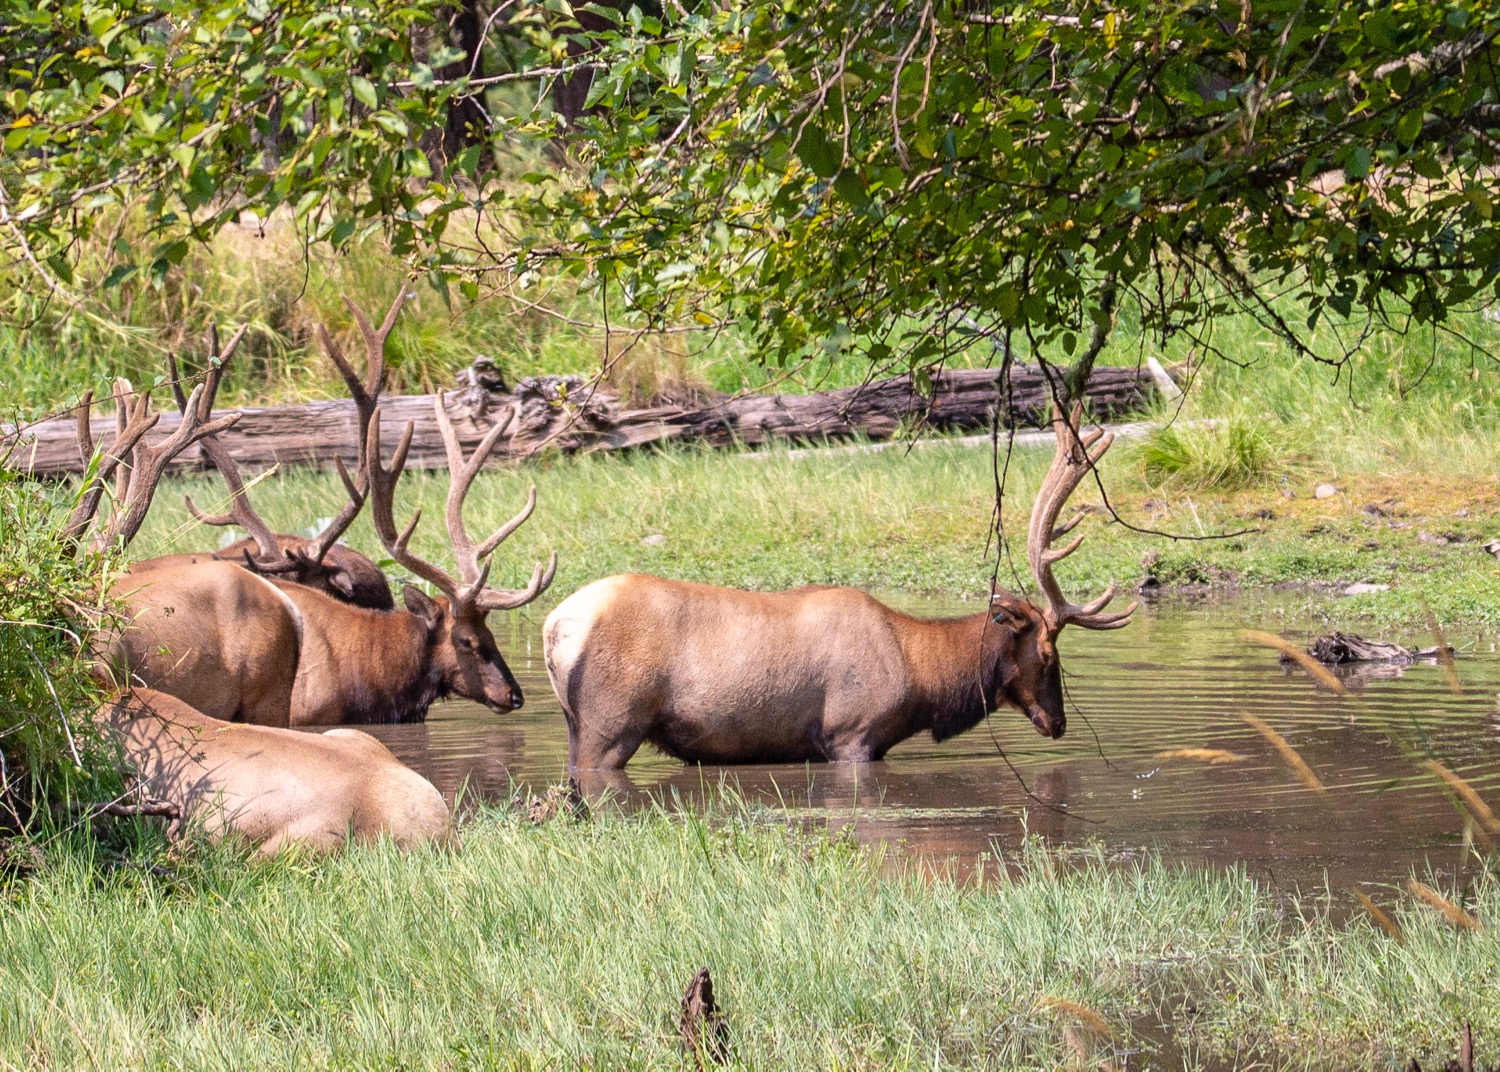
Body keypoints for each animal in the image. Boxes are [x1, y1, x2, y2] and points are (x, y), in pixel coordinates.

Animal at [546, 404, 1128, 773]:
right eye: (1049, 656)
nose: (1058, 723)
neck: (922, 676)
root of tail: (554, 627)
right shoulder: (851, 735)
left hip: (580, 725)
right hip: (610, 724)